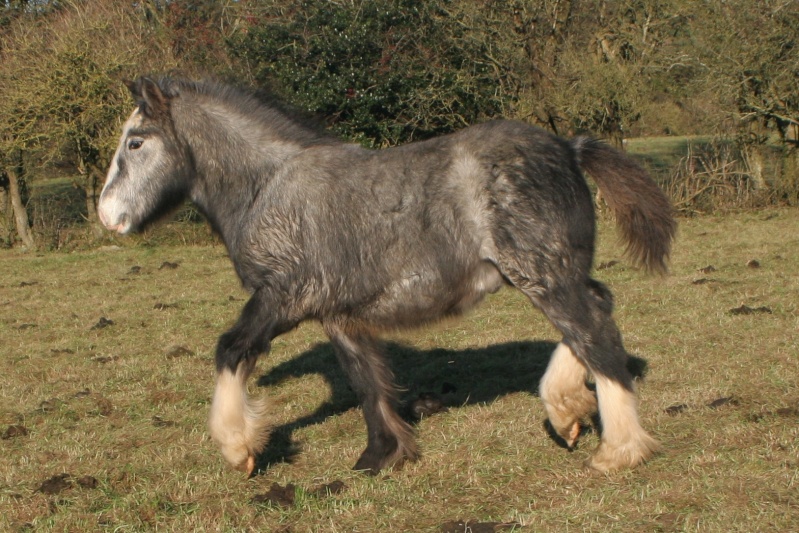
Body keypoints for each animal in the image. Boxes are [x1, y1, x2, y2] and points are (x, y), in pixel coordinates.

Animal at [98, 77, 676, 476]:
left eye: (135, 142)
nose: (107, 216)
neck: (269, 187)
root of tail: (568, 148)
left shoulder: (282, 297)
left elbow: (231, 349)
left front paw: (239, 447)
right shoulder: (338, 314)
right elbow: (366, 381)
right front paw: (382, 456)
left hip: (543, 274)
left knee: (593, 331)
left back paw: (618, 450)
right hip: (552, 272)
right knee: (596, 310)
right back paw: (567, 409)